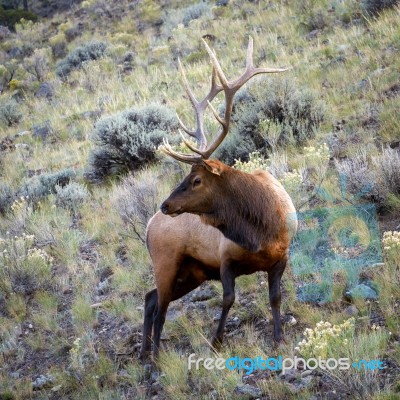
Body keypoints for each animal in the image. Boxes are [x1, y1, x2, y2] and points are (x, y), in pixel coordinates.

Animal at [141, 37, 296, 360]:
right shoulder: (225, 259)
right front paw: (216, 341)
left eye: (196, 180)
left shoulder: (282, 256)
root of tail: (148, 226)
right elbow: (228, 299)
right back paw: (155, 357)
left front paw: (278, 336)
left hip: (191, 273)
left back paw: (143, 353)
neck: (261, 229)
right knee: (160, 306)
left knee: (150, 299)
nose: (165, 205)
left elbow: (275, 297)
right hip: (166, 262)